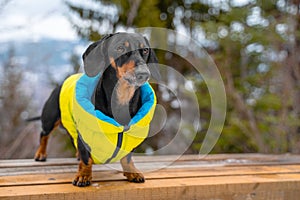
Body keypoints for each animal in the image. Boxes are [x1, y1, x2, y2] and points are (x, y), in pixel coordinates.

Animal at [31, 32, 159, 187]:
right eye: (120, 48)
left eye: (145, 50)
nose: (143, 74)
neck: (122, 98)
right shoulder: (85, 133)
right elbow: (86, 158)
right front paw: (83, 176)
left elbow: (127, 157)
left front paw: (132, 172)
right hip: (50, 118)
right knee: (44, 135)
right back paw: (40, 154)